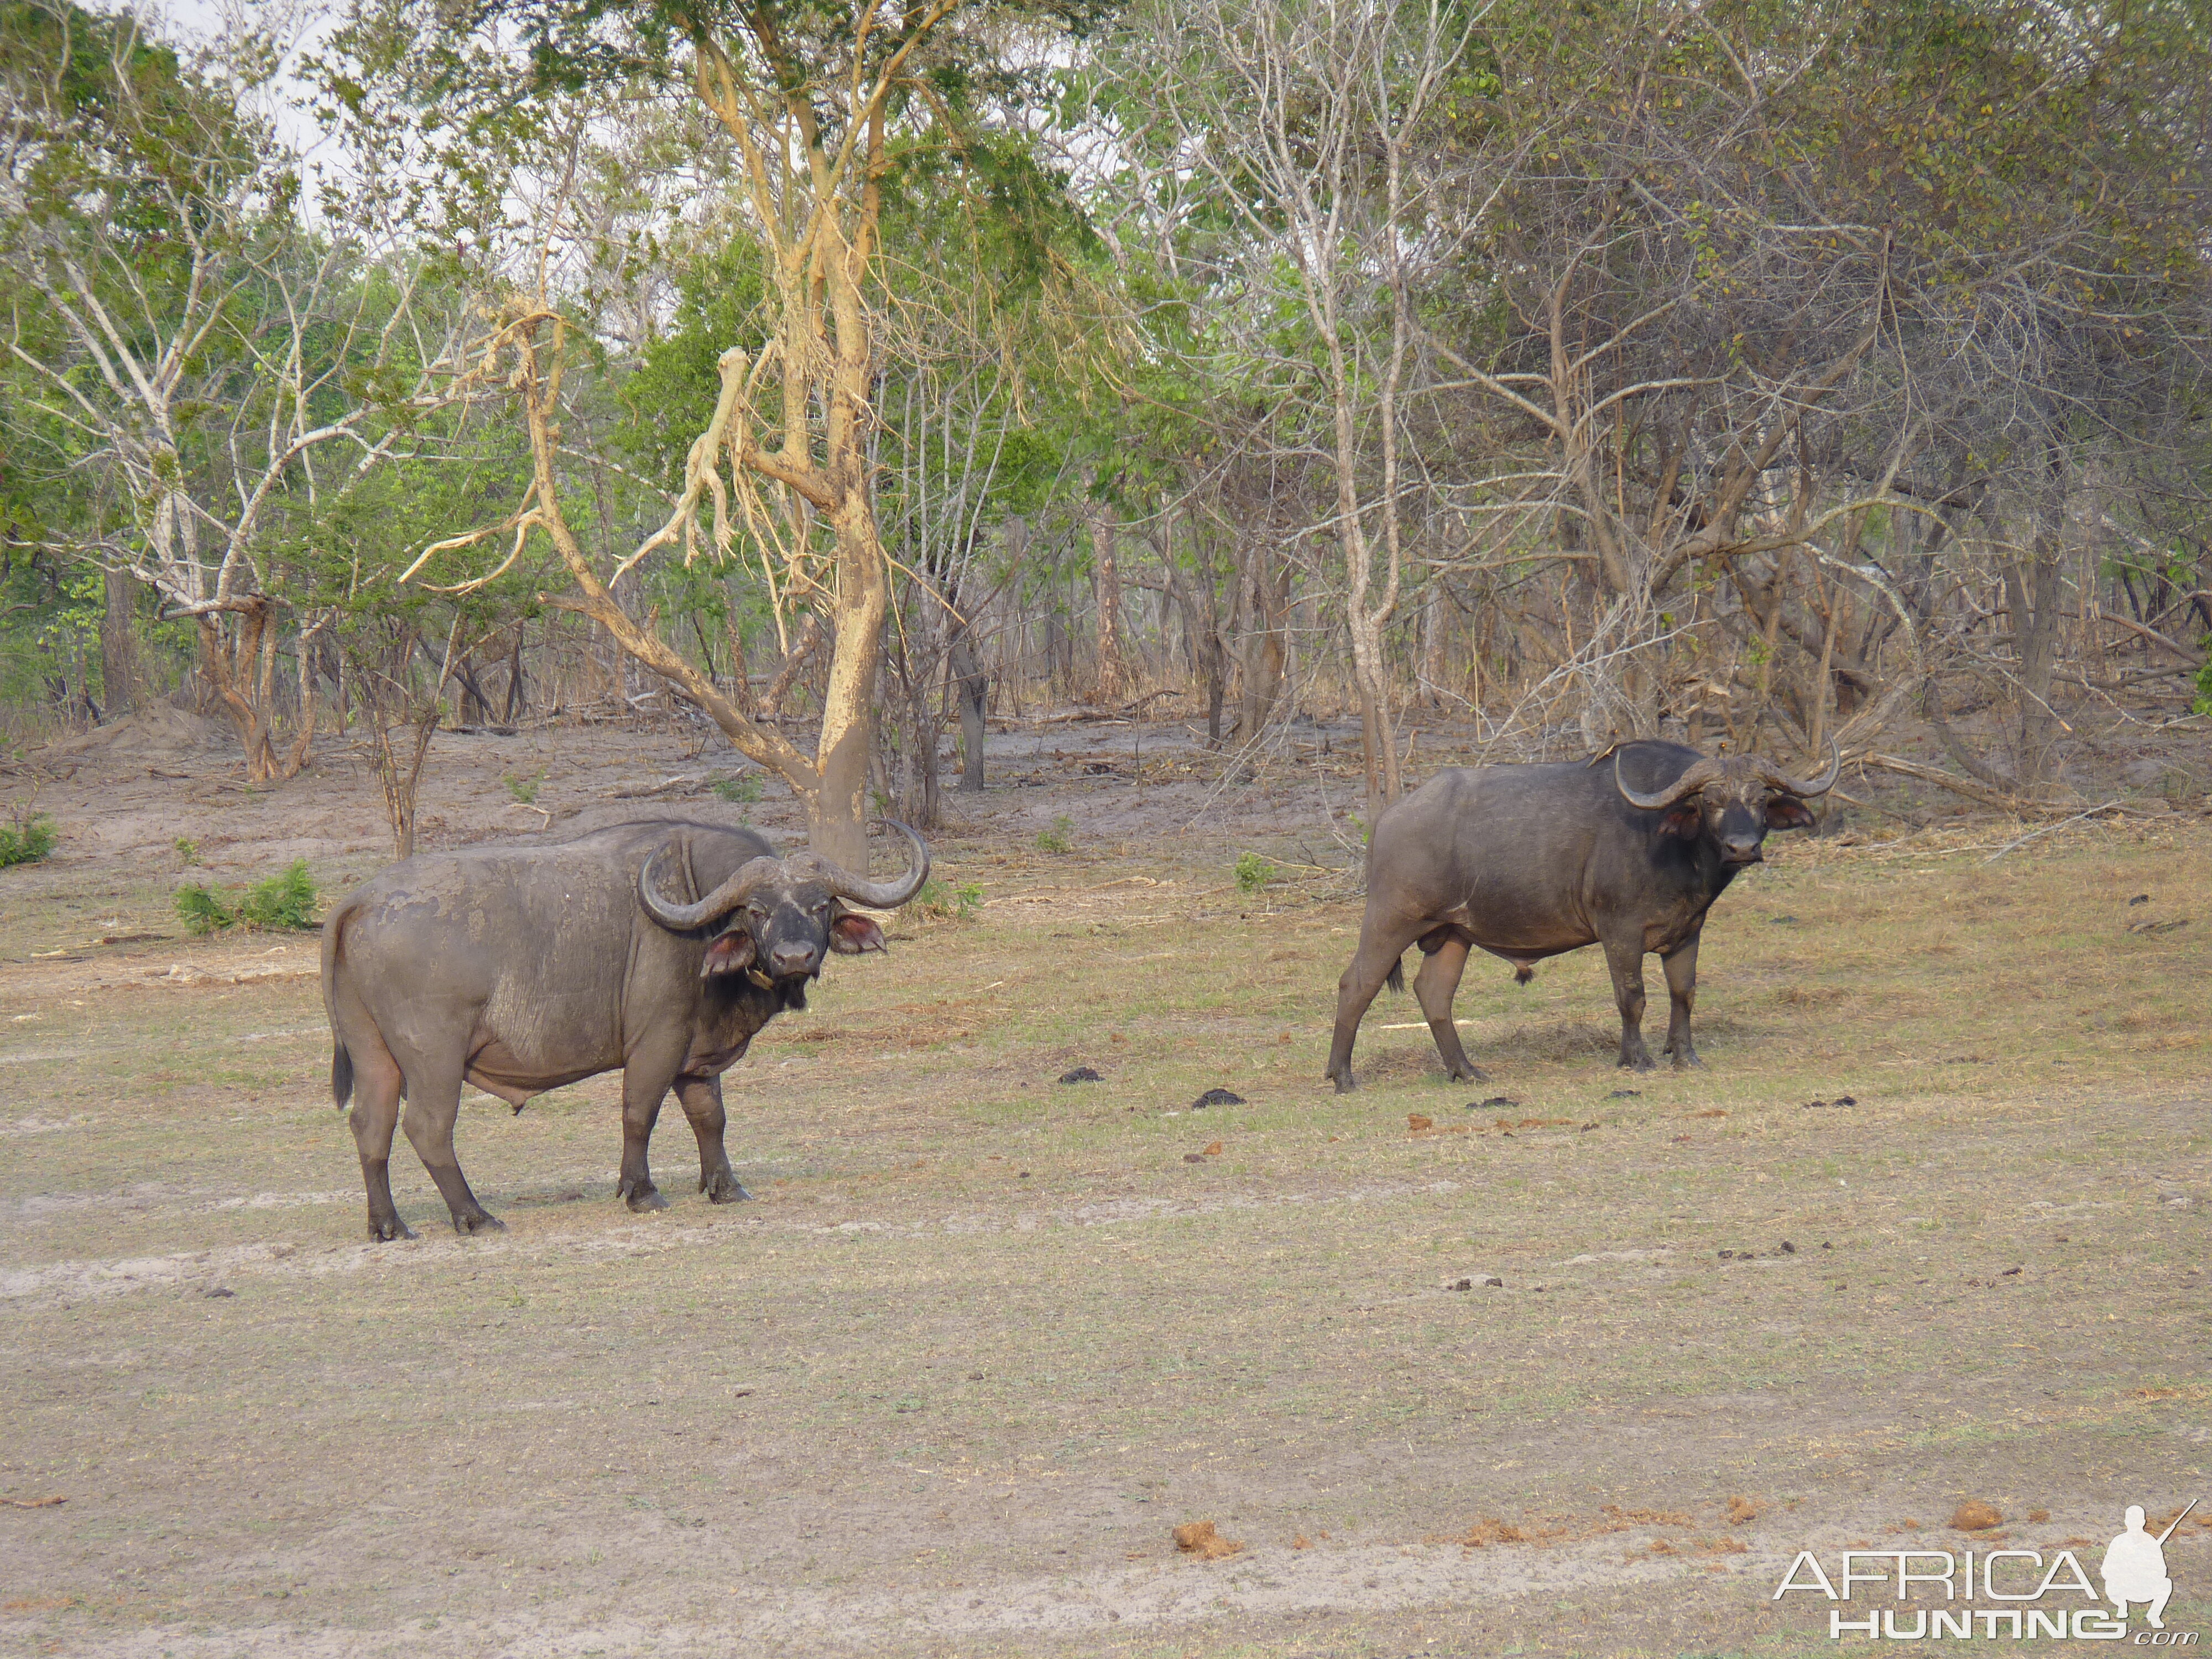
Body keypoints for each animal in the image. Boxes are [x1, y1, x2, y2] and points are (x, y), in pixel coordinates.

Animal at [321, 818, 925, 1239]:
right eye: (757, 910)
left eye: (820, 905)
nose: (794, 956)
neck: (697, 914)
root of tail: (359, 901)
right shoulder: (657, 1042)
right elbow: (640, 1112)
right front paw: (640, 1191)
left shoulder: (696, 1059)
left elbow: (711, 1119)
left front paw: (725, 1188)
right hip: (434, 1061)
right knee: (426, 1127)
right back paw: (474, 1216)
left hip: (375, 1057)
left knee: (370, 1127)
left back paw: (388, 1226)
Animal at [1318, 739, 1840, 1093]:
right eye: (1710, 802)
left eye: (1759, 800)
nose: (1743, 848)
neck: (1671, 844)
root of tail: (1388, 819)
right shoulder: (1620, 933)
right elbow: (1632, 996)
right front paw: (1636, 1059)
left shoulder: (1689, 931)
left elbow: (1684, 993)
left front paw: (1685, 1055)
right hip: (1391, 920)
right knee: (1356, 983)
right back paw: (1342, 1076)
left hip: (1454, 934)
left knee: (1434, 993)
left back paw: (1466, 1071)